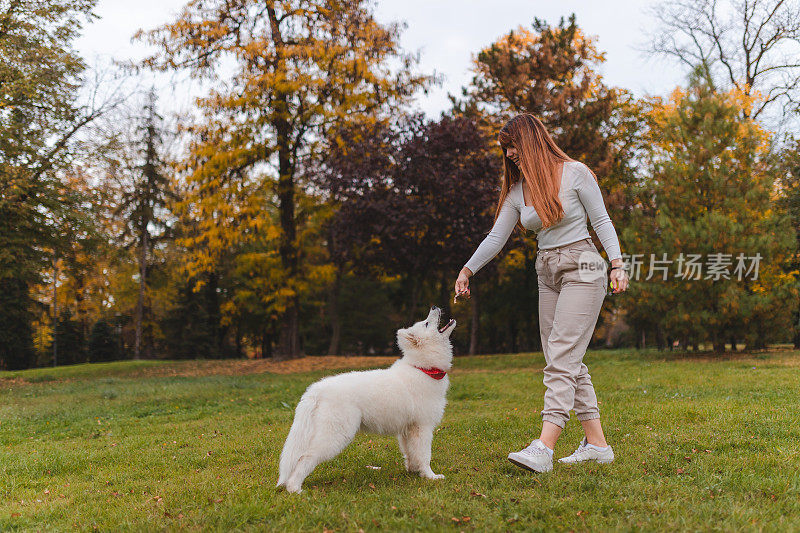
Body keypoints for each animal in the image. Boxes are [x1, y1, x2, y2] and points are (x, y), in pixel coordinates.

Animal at [278, 306, 456, 492]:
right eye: (426, 323)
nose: (434, 307)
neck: (423, 368)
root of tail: (317, 389)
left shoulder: (408, 429)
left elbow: (411, 454)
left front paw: (414, 472)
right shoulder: (423, 427)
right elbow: (425, 455)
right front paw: (431, 476)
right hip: (335, 435)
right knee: (305, 458)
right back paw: (295, 489)